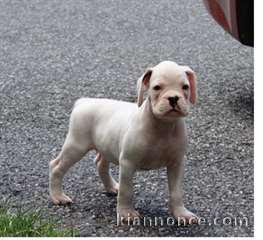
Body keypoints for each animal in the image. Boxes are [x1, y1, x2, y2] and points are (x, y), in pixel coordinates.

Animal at [49, 61, 198, 222]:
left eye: (185, 87)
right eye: (157, 87)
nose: (174, 98)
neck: (163, 125)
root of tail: (83, 102)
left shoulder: (177, 163)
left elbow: (176, 192)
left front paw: (181, 213)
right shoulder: (128, 163)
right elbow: (127, 190)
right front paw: (126, 213)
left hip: (105, 145)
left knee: (100, 164)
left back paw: (112, 187)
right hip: (76, 146)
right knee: (56, 166)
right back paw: (58, 196)